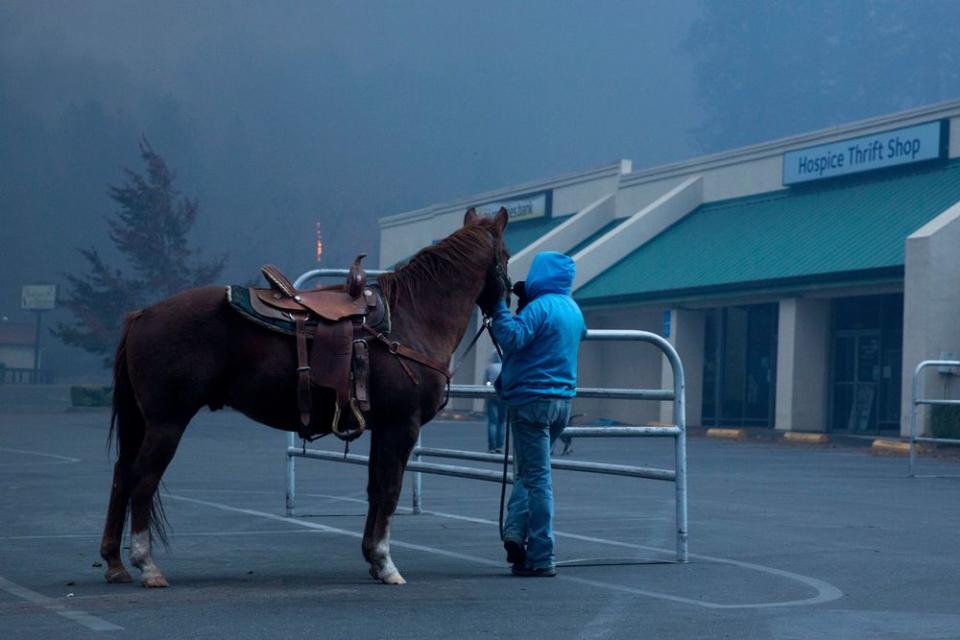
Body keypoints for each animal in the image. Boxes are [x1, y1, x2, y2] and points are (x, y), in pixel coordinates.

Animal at [99, 208, 510, 588]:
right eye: (505, 254)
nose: (512, 297)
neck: (412, 320)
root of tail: (142, 314)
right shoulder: (401, 426)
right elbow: (390, 490)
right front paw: (386, 563)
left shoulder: (383, 428)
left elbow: (375, 489)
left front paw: (373, 560)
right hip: (167, 422)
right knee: (143, 478)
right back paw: (147, 565)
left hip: (143, 422)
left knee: (122, 475)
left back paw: (115, 563)